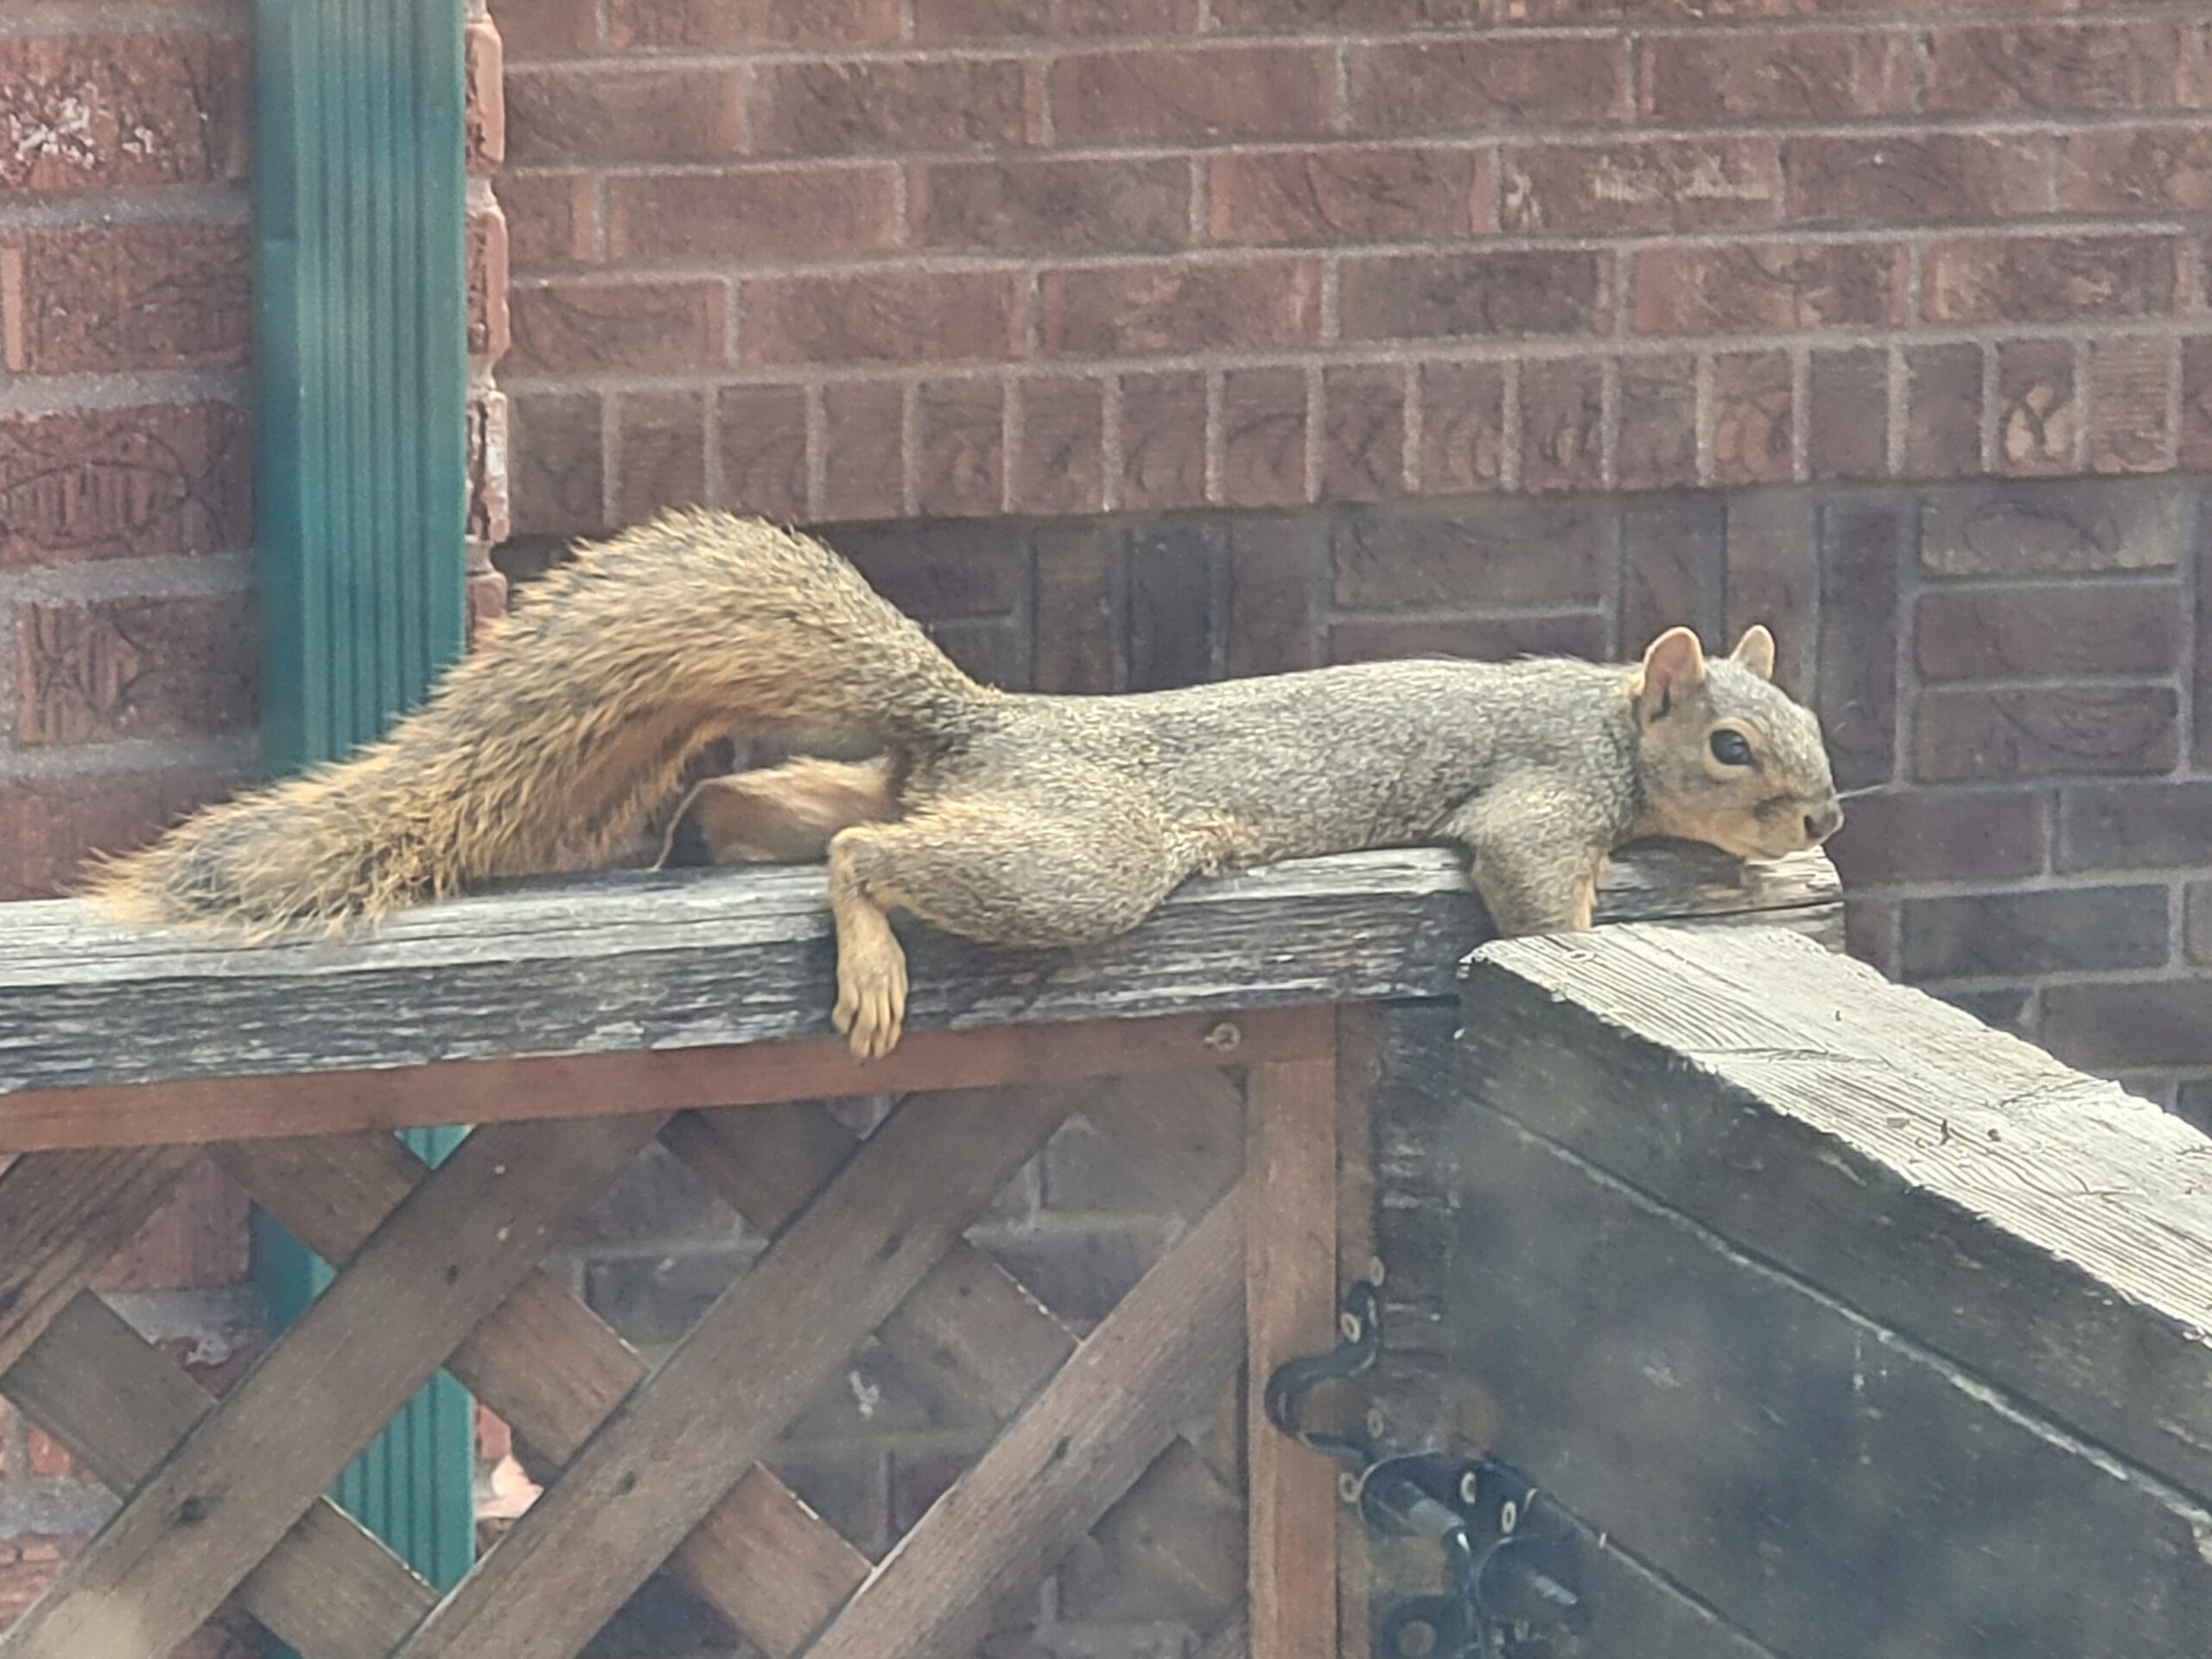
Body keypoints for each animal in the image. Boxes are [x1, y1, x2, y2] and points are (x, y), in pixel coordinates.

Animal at [83, 509, 1843, 1062]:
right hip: (1081, 859)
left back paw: (708, 837)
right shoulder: (1537, 792)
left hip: (918, 793)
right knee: (865, 856)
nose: (1824, 814)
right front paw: (1623, 926)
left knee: (805, 813)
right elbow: (1540, 893)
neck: (1608, 714)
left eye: (1814, 721)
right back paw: (865, 956)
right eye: (1732, 746)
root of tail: (990, 725)